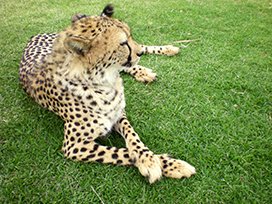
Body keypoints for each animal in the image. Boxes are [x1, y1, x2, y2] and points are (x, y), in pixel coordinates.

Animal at [20, 4, 197, 183]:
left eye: (130, 36)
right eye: (123, 43)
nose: (138, 53)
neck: (104, 81)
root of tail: (36, 35)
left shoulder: (119, 113)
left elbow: (133, 135)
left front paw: (150, 158)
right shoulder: (74, 146)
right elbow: (119, 153)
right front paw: (159, 163)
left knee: (138, 55)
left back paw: (167, 50)